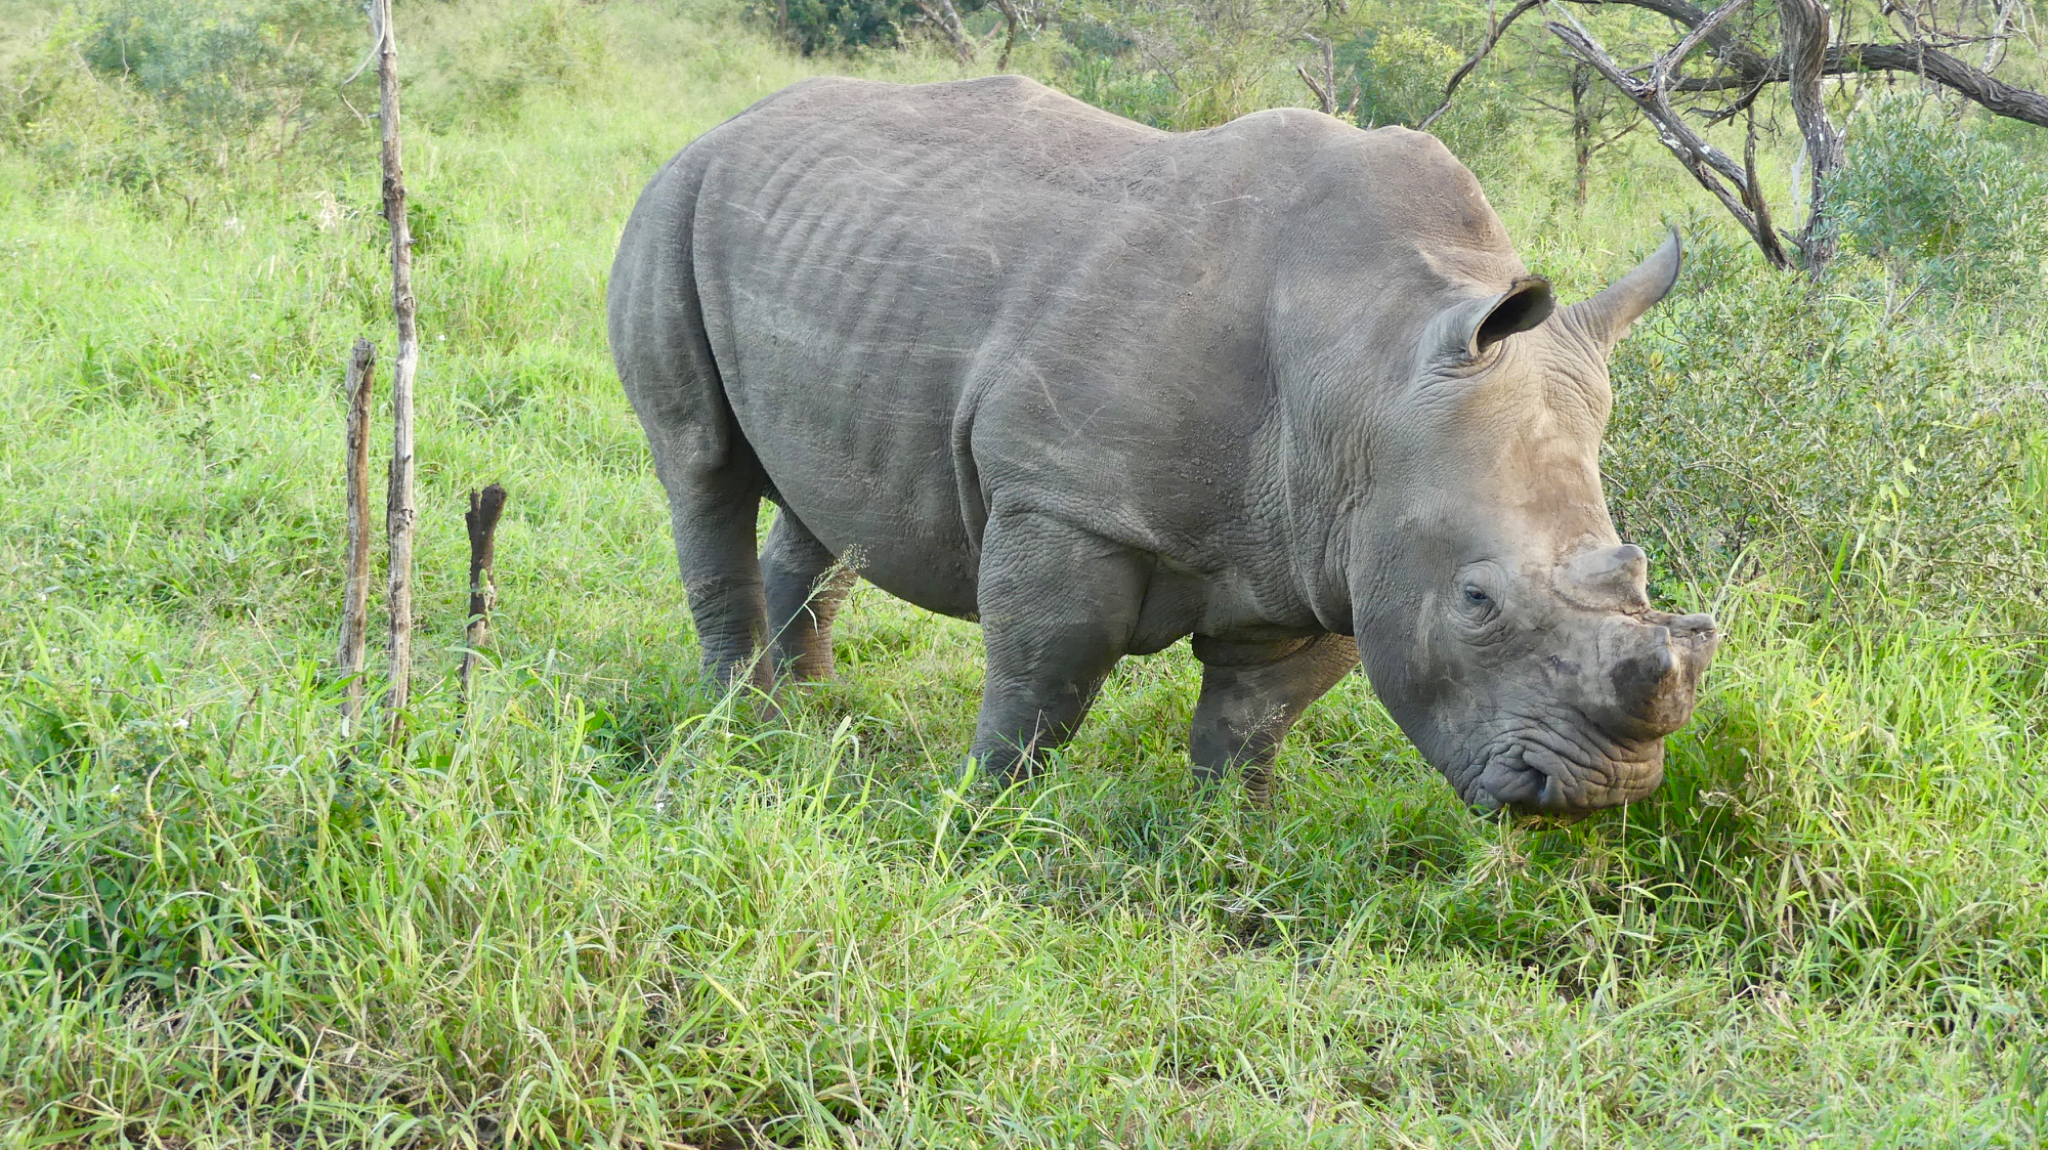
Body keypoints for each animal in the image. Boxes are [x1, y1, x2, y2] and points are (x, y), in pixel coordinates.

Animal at [609, 75, 1718, 816]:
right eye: (1476, 600)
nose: (1596, 789)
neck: (1368, 362)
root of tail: (730, 119)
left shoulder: (1330, 543)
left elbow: (1255, 714)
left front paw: (1234, 835)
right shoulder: (1066, 503)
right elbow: (1044, 675)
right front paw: (983, 813)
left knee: (830, 498)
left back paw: (814, 709)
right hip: (671, 200)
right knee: (702, 467)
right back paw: (742, 721)